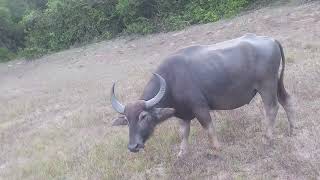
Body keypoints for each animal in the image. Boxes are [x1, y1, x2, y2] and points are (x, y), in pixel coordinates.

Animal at [110, 33, 296, 157]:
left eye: (143, 116)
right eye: (126, 120)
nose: (133, 146)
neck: (171, 80)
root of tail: (270, 40)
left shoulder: (200, 107)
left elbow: (209, 128)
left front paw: (217, 148)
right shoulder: (182, 114)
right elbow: (183, 133)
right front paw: (182, 153)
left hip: (267, 86)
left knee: (272, 108)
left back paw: (267, 139)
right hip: (277, 82)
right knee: (287, 100)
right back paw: (293, 130)